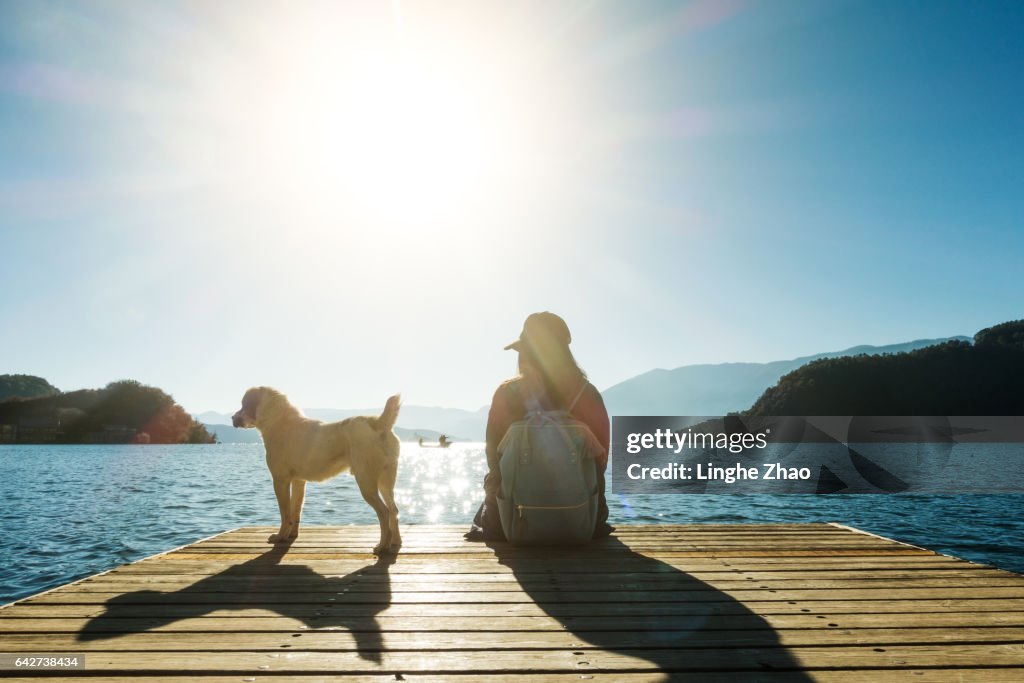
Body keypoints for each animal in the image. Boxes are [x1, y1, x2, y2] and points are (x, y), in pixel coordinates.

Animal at [234, 385, 401, 557]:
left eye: (243, 404)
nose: (233, 418)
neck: (280, 421)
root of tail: (380, 422)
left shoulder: (280, 480)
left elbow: (285, 513)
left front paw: (280, 537)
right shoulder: (298, 481)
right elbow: (295, 511)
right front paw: (291, 535)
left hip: (366, 483)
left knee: (384, 512)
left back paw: (382, 546)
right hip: (385, 483)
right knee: (394, 511)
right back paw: (395, 542)